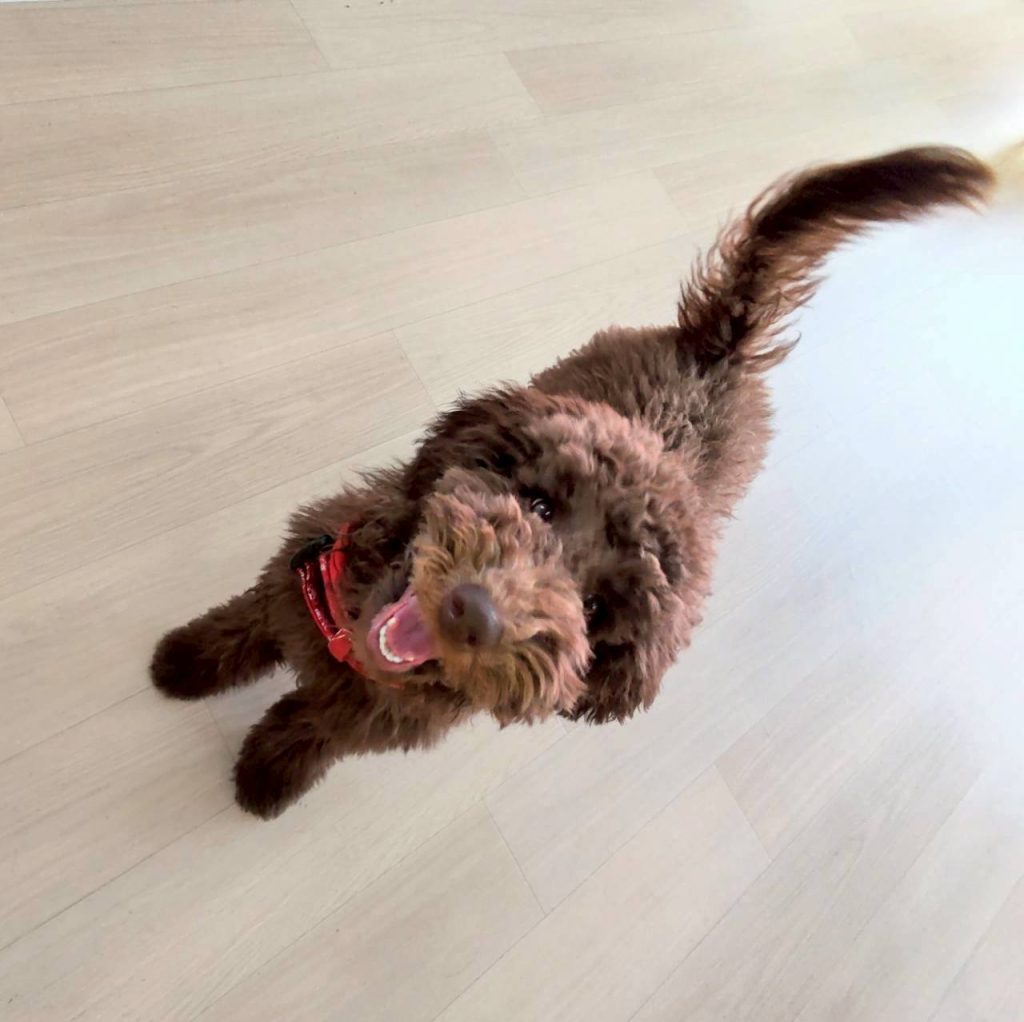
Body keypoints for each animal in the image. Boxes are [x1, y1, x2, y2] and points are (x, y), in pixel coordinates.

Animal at [151, 146, 992, 818]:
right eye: (537, 502)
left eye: (596, 610)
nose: (475, 615)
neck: (356, 640)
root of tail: (718, 352)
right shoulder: (294, 579)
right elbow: (237, 627)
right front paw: (180, 664)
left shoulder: (367, 721)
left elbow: (307, 730)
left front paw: (265, 779)